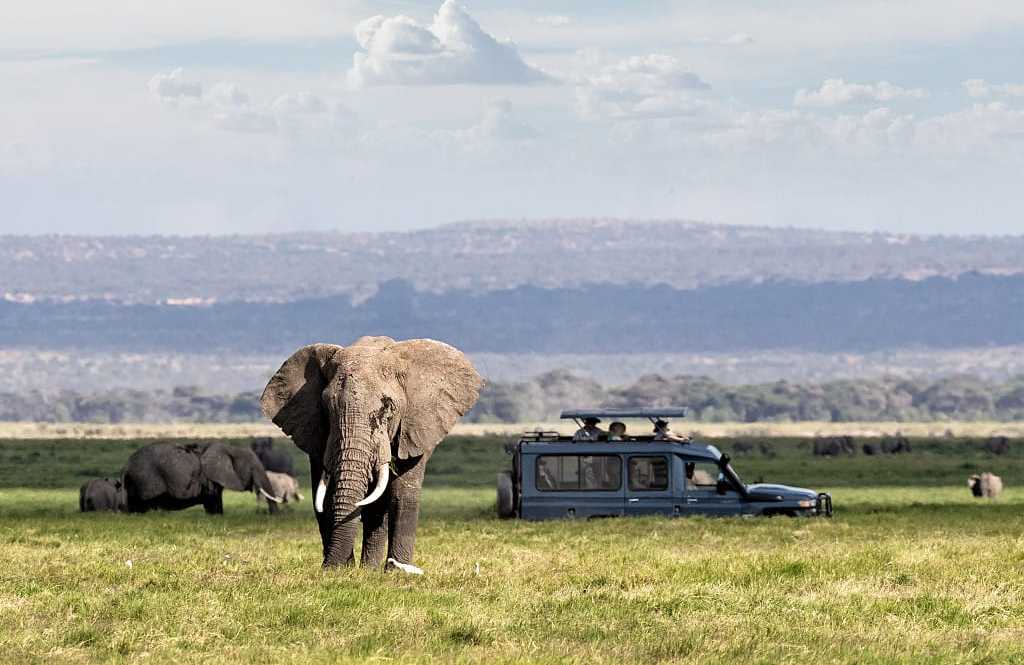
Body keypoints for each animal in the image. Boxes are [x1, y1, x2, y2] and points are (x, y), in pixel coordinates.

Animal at [122, 440, 281, 514]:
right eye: (252, 468)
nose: (273, 516)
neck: (229, 448)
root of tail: (126, 466)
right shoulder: (208, 478)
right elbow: (212, 500)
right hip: (146, 479)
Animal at [260, 336, 482, 571]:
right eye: (327, 409)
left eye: (389, 409)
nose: (329, 566)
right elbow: (325, 496)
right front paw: (339, 569)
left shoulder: (416, 428)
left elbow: (401, 494)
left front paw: (396, 571)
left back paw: (372, 569)